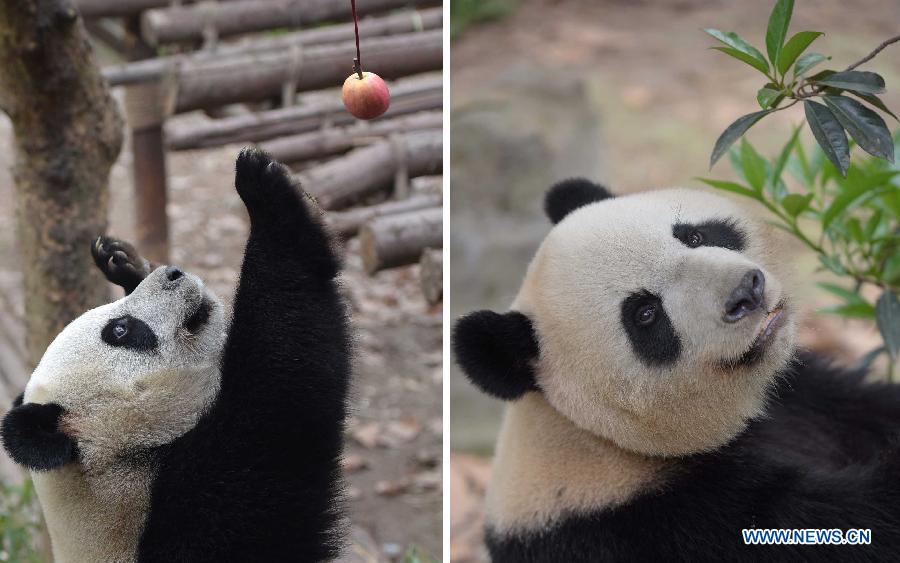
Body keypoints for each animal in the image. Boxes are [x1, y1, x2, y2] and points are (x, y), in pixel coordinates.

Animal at [0, 148, 352, 560]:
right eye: (120, 330)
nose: (173, 273)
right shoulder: (202, 514)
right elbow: (282, 389)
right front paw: (267, 194)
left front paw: (125, 263)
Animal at [454, 182, 900, 563]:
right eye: (646, 314)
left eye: (694, 236)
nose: (746, 291)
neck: (591, 437)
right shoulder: (660, 522)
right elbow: (841, 528)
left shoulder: (802, 397)